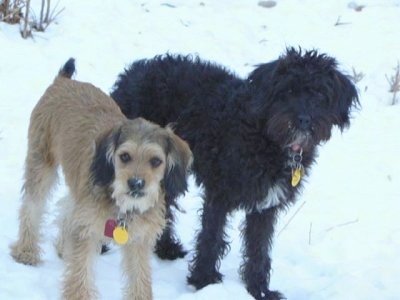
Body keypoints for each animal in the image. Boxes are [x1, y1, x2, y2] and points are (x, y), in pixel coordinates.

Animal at [9, 59, 191, 300]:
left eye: (155, 161)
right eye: (125, 156)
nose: (136, 184)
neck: (121, 207)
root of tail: (64, 81)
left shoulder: (139, 240)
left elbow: (140, 279)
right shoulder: (86, 230)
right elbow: (80, 276)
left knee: (67, 207)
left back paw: (62, 246)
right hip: (41, 164)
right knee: (31, 207)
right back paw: (26, 251)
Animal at [110, 48, 360, 298]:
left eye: (319, 94)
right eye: (288, 90)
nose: (304, 119)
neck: (265, 137)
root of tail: (131, 72)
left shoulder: (266, 206)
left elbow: (259, 248)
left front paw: (259, 289)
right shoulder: (219, 193)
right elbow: (212, 238)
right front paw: (204, 281)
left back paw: (166, 248)